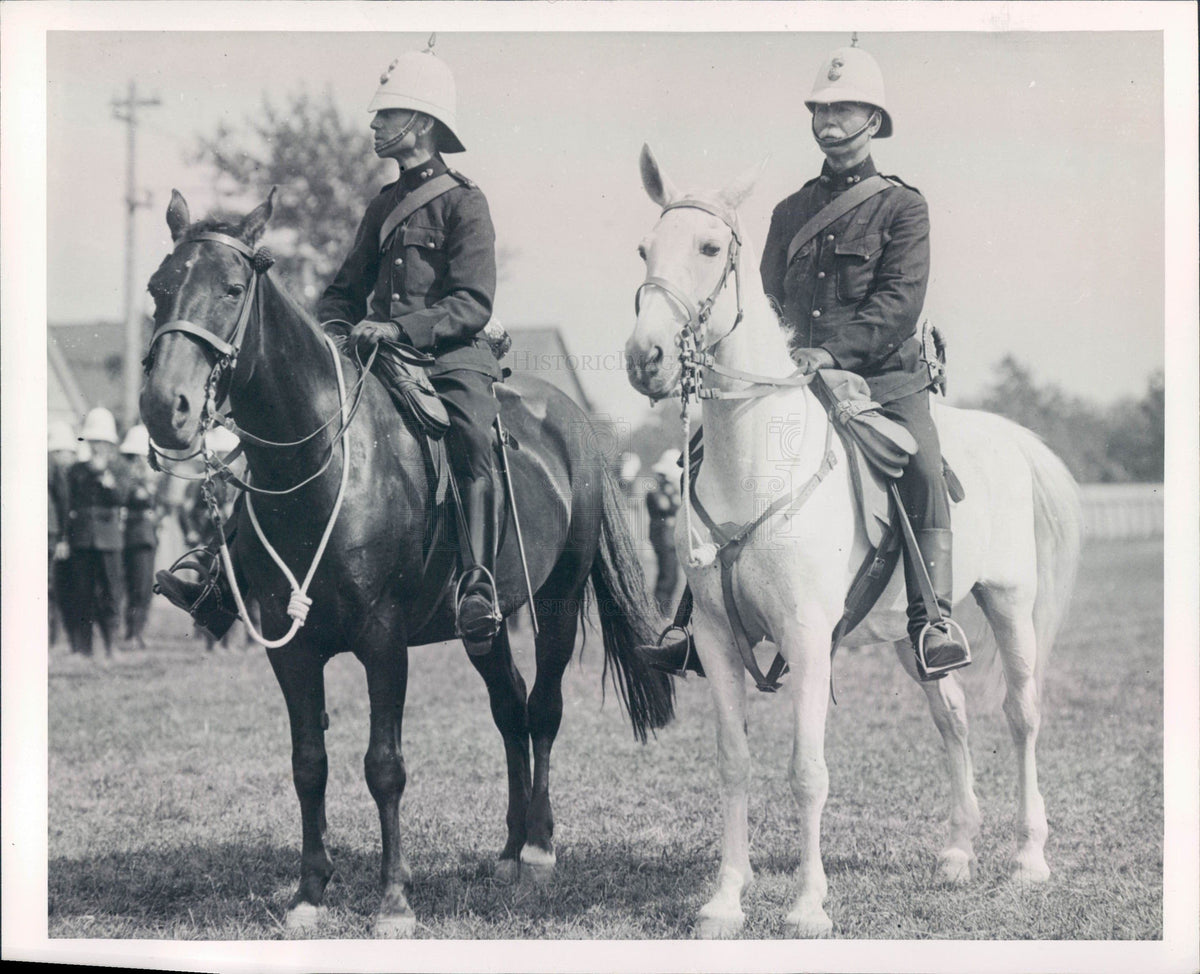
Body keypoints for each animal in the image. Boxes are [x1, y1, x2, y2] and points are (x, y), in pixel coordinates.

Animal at [140, 191, 676, 935]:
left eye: (231, 288)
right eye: (158, 289)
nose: (166, 408)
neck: (322, 466)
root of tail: (573, 424)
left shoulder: (383, 641)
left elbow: (384, 765)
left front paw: (394, 899)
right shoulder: (290, 648)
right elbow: (309, 763)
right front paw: (310, 892)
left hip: (558, 606)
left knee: (542, 710)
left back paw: (538, 849)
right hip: (483, 625)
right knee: (509, 708)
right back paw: (508, 851)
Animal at [624, 148, 1084, 940]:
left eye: (710, 249)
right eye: (646, 250)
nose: (644, 357)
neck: (757, 458)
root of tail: (1006, 435)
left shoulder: (808, 638)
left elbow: (807, 771)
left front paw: (809, 905)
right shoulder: (715, 639)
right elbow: (733, 762)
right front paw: (725, 899)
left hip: (1010, 602)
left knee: (1021, 715)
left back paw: (1028, 858)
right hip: (910, 632)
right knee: (951, 714)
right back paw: (958, 851)